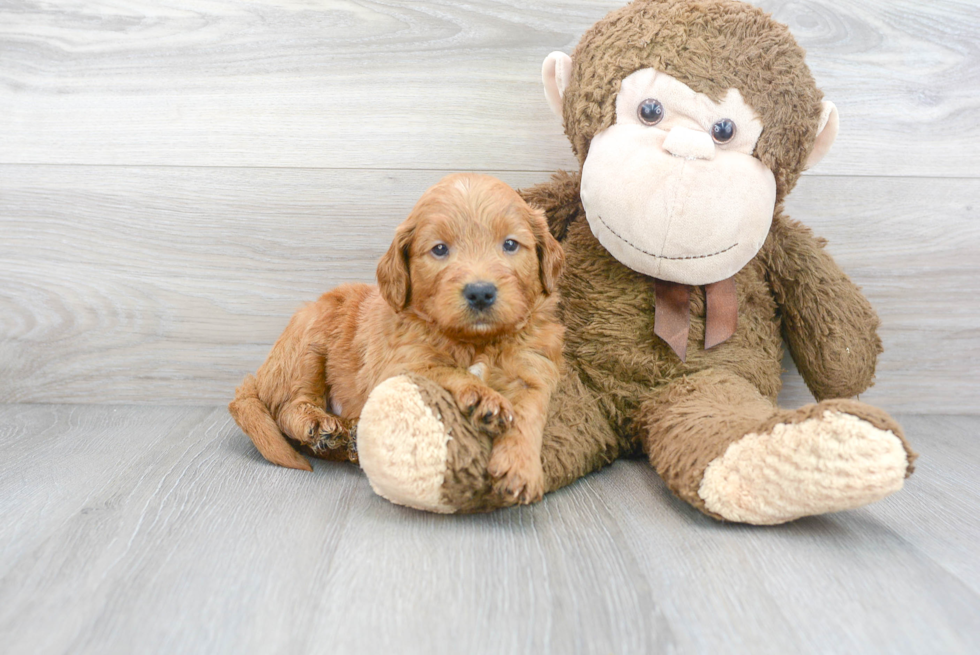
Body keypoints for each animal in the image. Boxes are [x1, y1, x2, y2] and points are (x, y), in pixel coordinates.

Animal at [229, 173, 564, 502]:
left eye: (510, 244)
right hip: (309, 339)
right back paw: (318, 424)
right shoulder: (399, 367)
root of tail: (259, 376)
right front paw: (482, 396)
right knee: (287, 407)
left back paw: (348, 438)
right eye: (439, 249)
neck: (475, 341)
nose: (480, 292)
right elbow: (445, 370)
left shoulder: (533, 371)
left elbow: (529, 414)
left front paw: (520, 469)